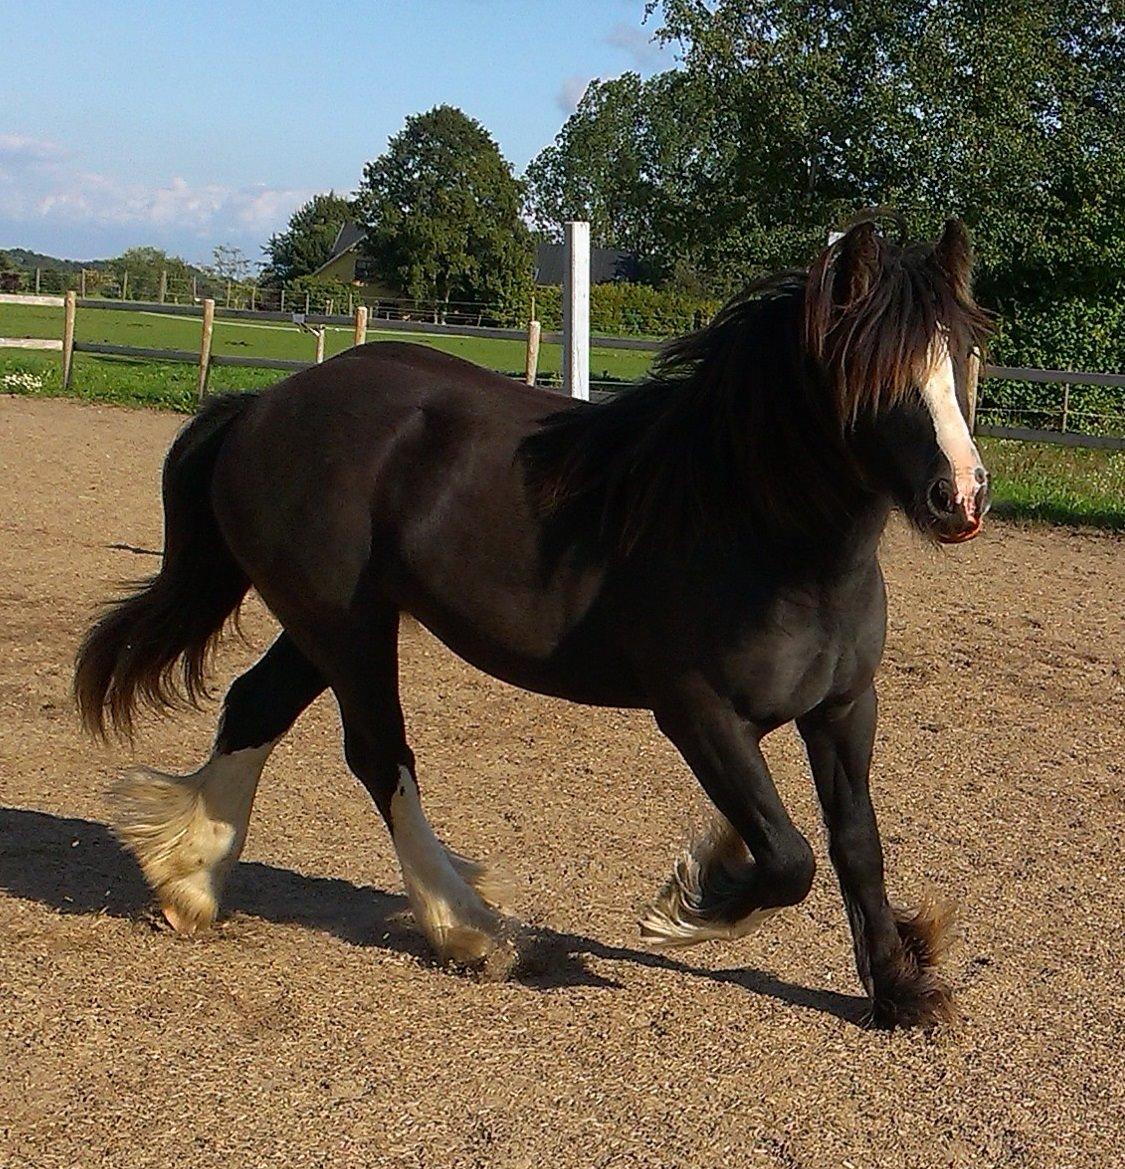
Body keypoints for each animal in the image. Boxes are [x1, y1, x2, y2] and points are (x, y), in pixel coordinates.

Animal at [76, 217, 991, 1024]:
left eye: (958, 356)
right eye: (872, 371)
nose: (961, 496)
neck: (751, 527)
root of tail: (266, 403)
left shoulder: (843, 708)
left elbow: (853, 845)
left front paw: (898, 990)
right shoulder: (698, 714)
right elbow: (785, 854)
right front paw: (691, 901)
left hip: (323, 625)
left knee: (254, 708)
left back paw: (192, 882)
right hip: (348, 629)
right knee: (379, 755)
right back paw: (466, 927)